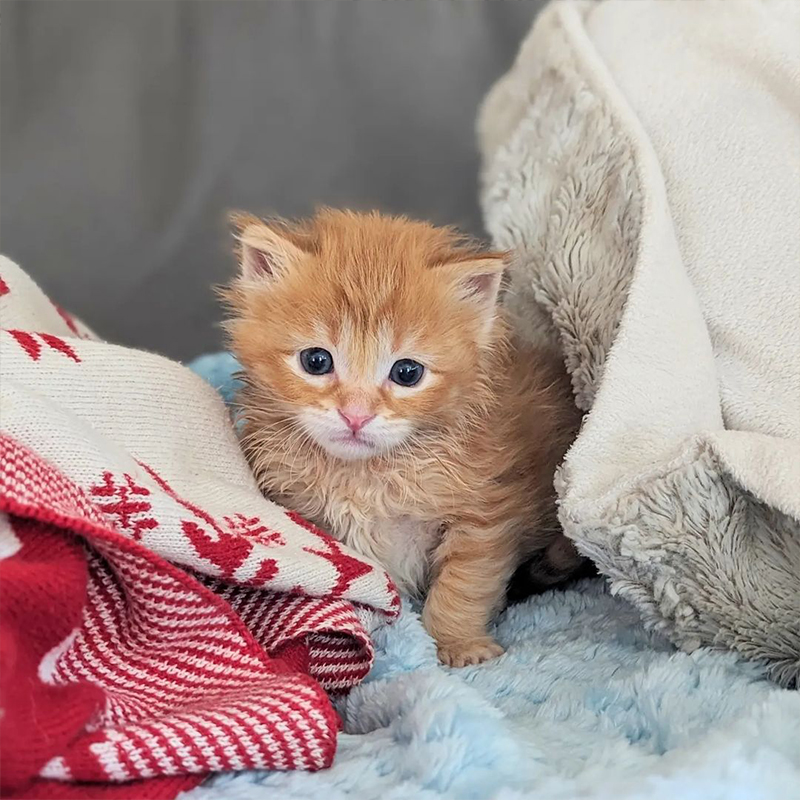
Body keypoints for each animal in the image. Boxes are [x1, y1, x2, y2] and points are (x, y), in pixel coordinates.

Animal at [222, 209, 584, 664]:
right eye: (316, 361)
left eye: (407, 373)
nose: (355, 416)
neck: (365, 476)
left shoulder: (486, 519)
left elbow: (462, 587)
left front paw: (457, 644)